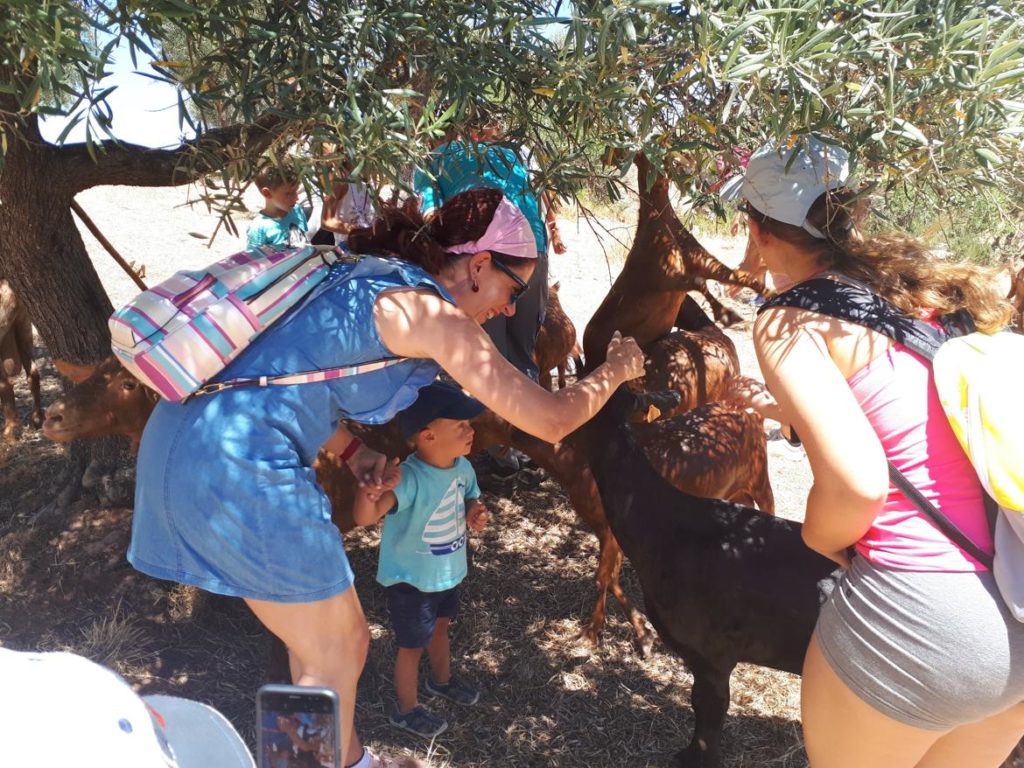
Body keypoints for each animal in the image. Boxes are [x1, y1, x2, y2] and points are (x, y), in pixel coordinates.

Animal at [585, 153, 770, 370]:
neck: (660, 225)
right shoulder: (667, 278)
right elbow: (700, 283)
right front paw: (726, 315)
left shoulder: (703, 263)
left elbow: (741, 277)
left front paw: (771, 295)